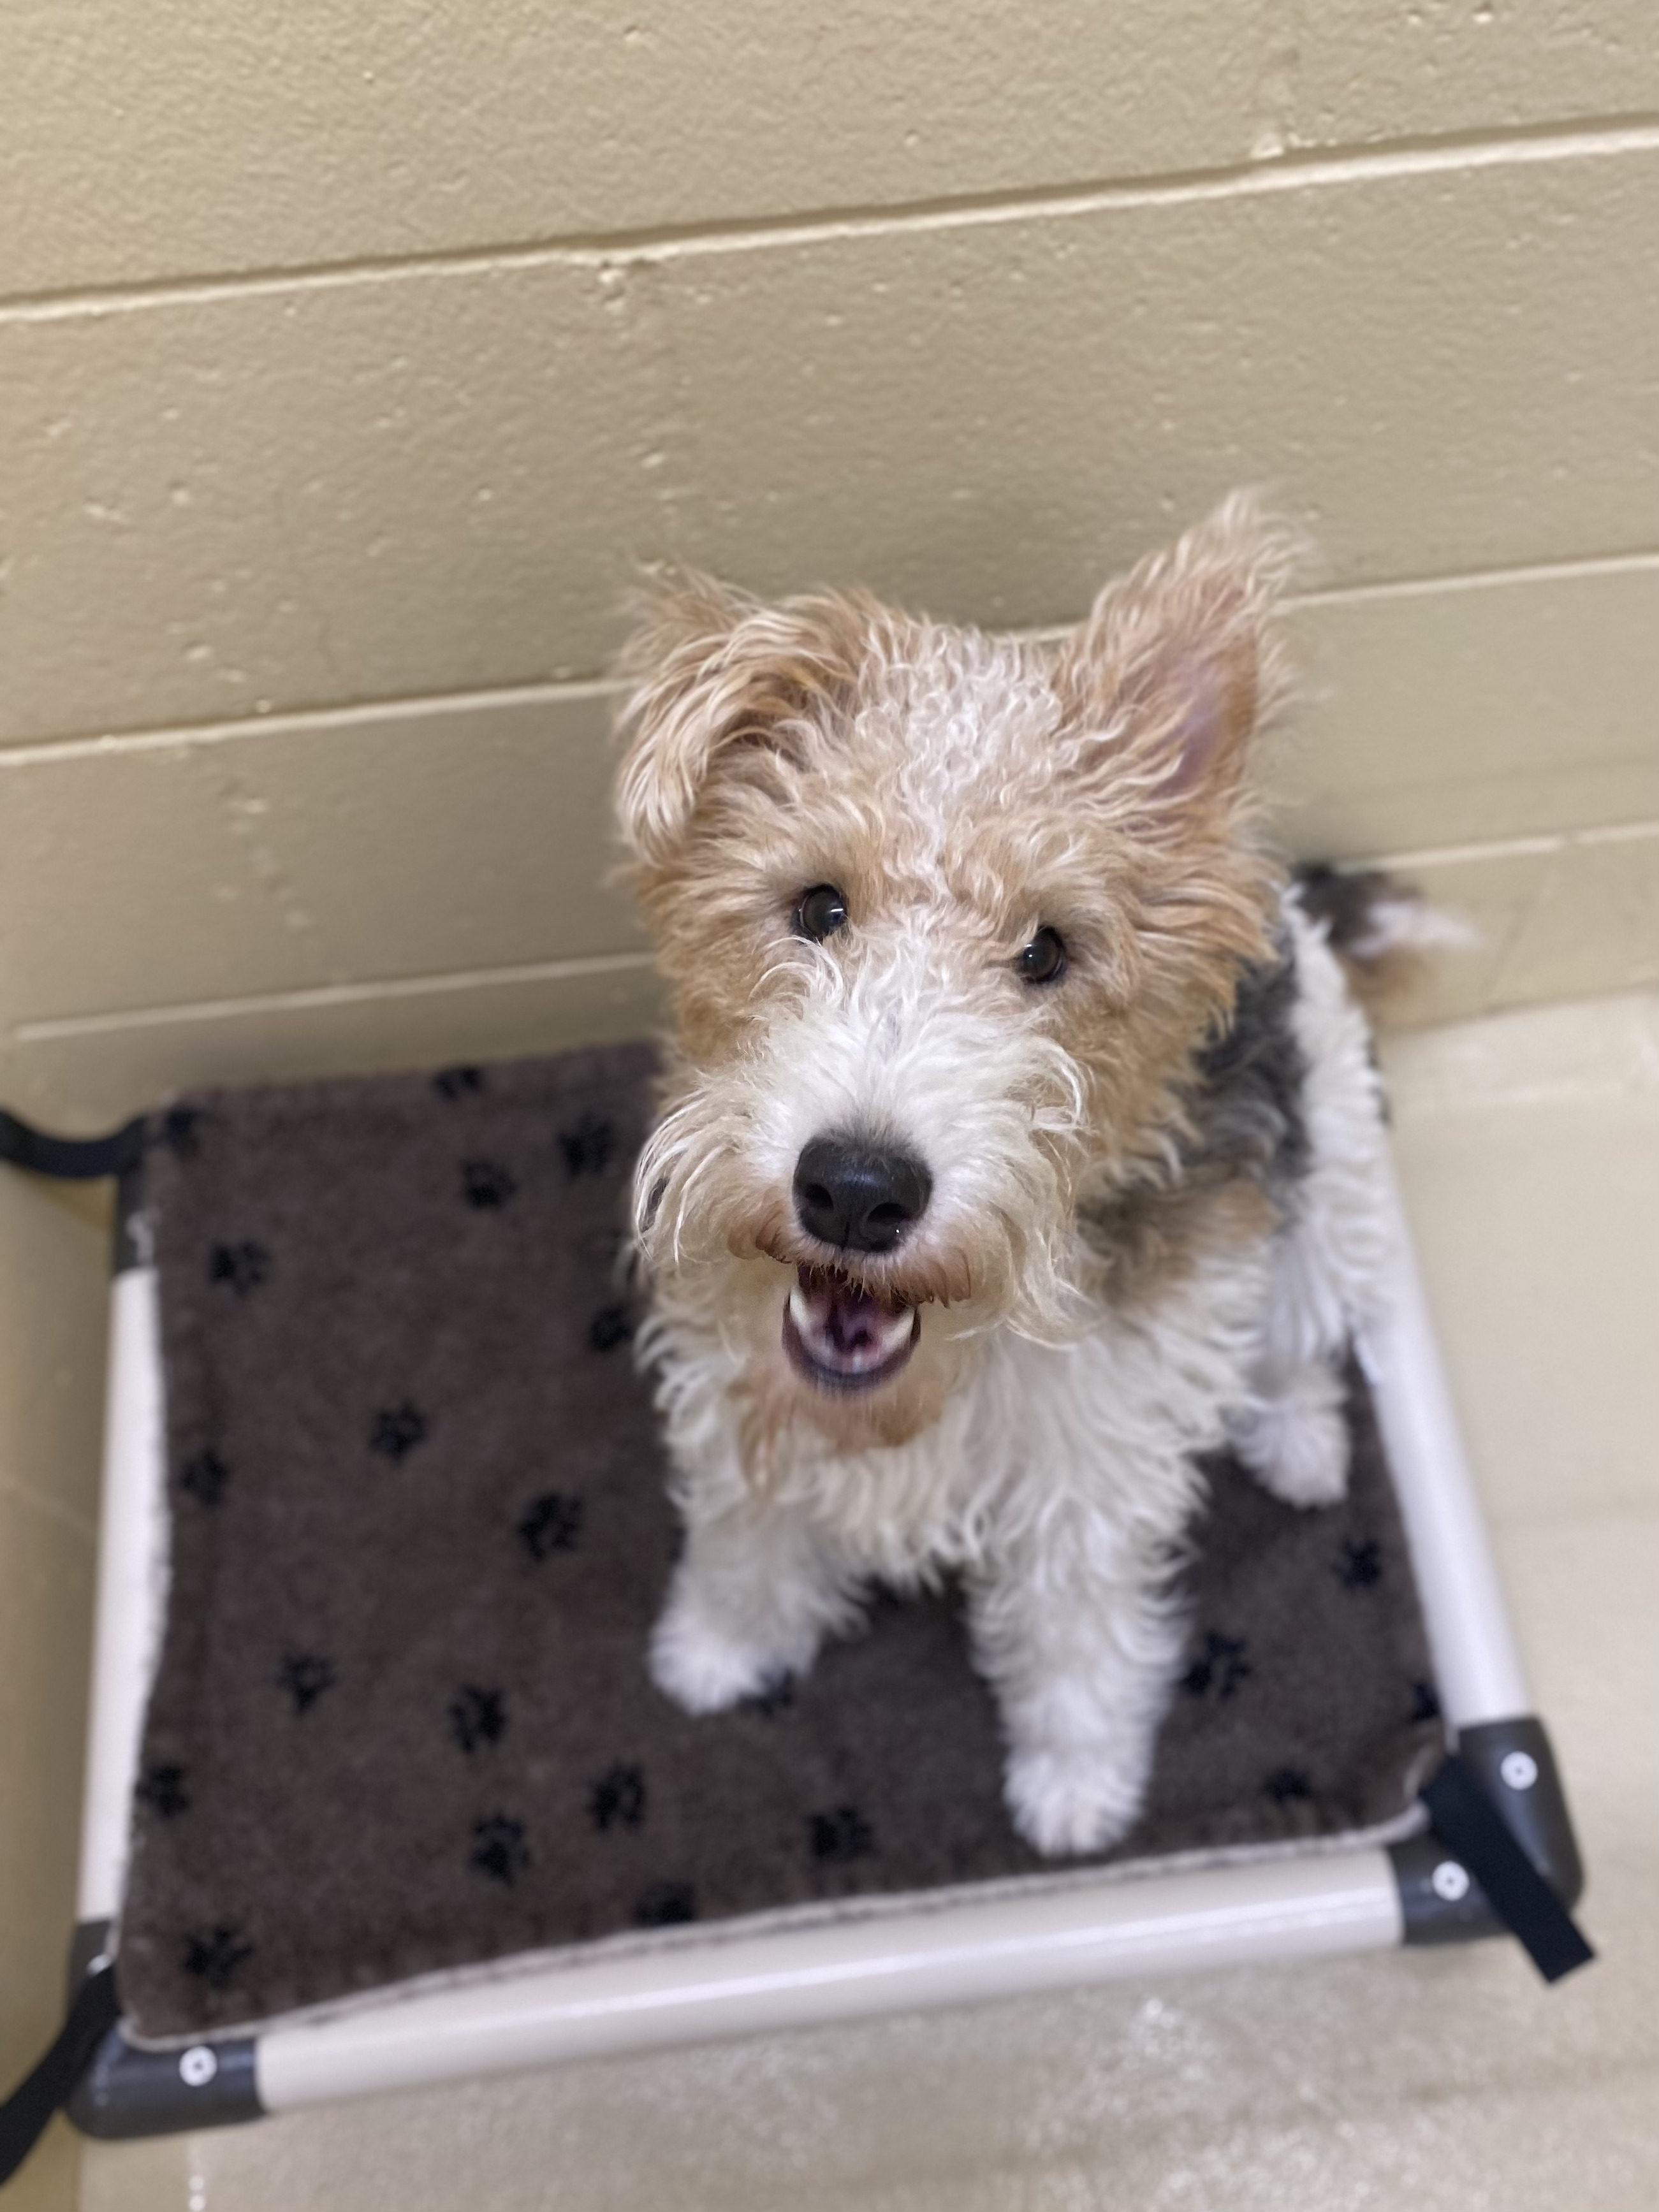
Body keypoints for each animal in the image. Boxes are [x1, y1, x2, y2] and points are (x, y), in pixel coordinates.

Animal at [619, 497, 1398, 1849]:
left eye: (1047, 952)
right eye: (816, 907)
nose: (856, 1190)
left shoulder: (1089, 1472)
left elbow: (1077, 1641)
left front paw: (1077, 1791)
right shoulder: (734, 1377)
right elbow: (746, 1531)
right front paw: (715, 1649)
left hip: (1324, 1187)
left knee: (1298, 1346)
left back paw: (1299, 1450)